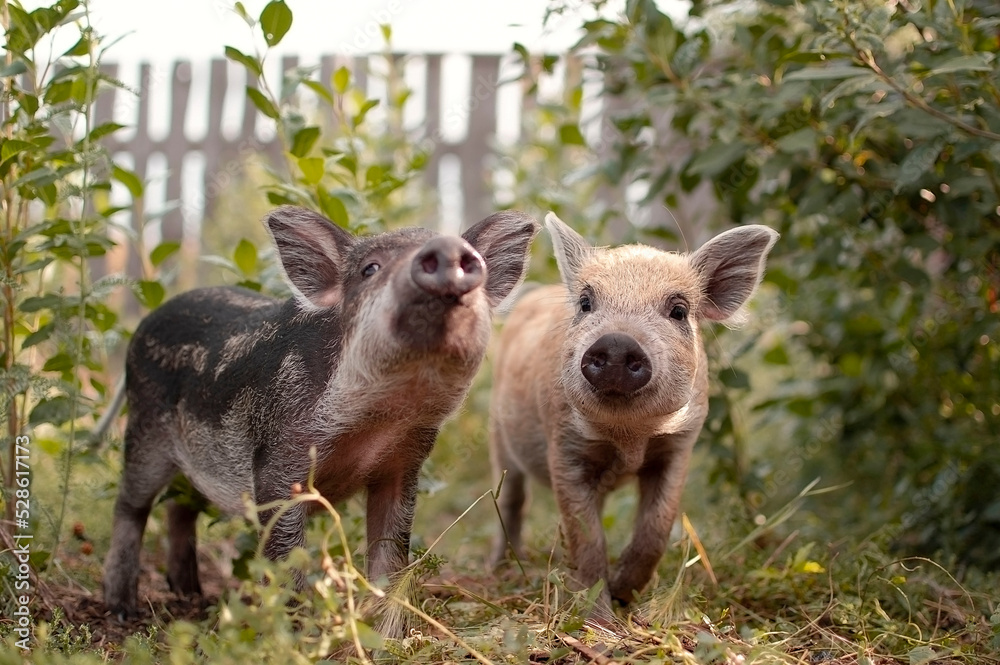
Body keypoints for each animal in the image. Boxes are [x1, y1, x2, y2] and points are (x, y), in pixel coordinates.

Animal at [101, 205, 539, 631]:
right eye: (370, 268)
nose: (448, 250)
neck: (378, 422)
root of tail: (145, 322)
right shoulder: (279, 463)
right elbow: (287, 557)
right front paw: (297, 632)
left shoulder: (404, 464)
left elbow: (390, 555)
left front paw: (386, 637)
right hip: (143, 433)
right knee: (130, 506)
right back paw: (123, 610)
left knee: (181, 505)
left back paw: (191, 593)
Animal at [489, 212, 777, 619]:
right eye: (585, 303)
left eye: (678, 310)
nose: (616, 342)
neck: (628, 440)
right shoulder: (564, 449)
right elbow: (587, 537)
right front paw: (600, 620)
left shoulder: (678, 449)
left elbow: (657, 527)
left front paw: (625, 593)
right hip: (498, 436)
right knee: (512, 502)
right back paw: (500, 570)